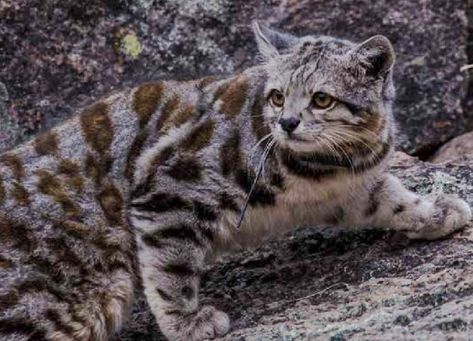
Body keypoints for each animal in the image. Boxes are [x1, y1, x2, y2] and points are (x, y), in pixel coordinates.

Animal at [0, 21, 470, 340]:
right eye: (278, 96)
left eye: (321, 99)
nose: (287, 122)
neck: (327, 165)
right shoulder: (168, 189)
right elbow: (169, 269)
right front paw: (188, 323)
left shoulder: (350, 191)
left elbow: (394, 198)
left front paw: (436, 212)